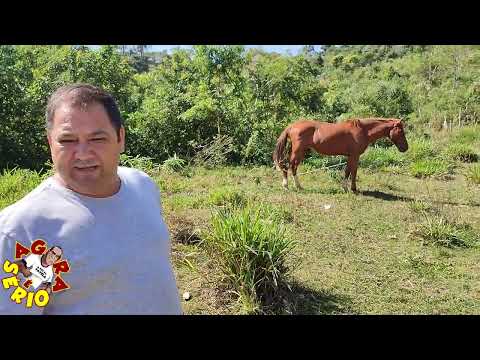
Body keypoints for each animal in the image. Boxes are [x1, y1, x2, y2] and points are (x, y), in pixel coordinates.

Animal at [274, 117, 408, 191]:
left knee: (292, 167)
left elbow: (347, 171)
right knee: (289, 165)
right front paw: (353, 189)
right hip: (298, 151)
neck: (363, 130)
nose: (405, 148)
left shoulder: (350, 156)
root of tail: (292, 126)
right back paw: (287, 186)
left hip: (301, 151)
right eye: (401, 131)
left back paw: (298, 186)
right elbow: (353, 171)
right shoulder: (355, 155)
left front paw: (345, 187)